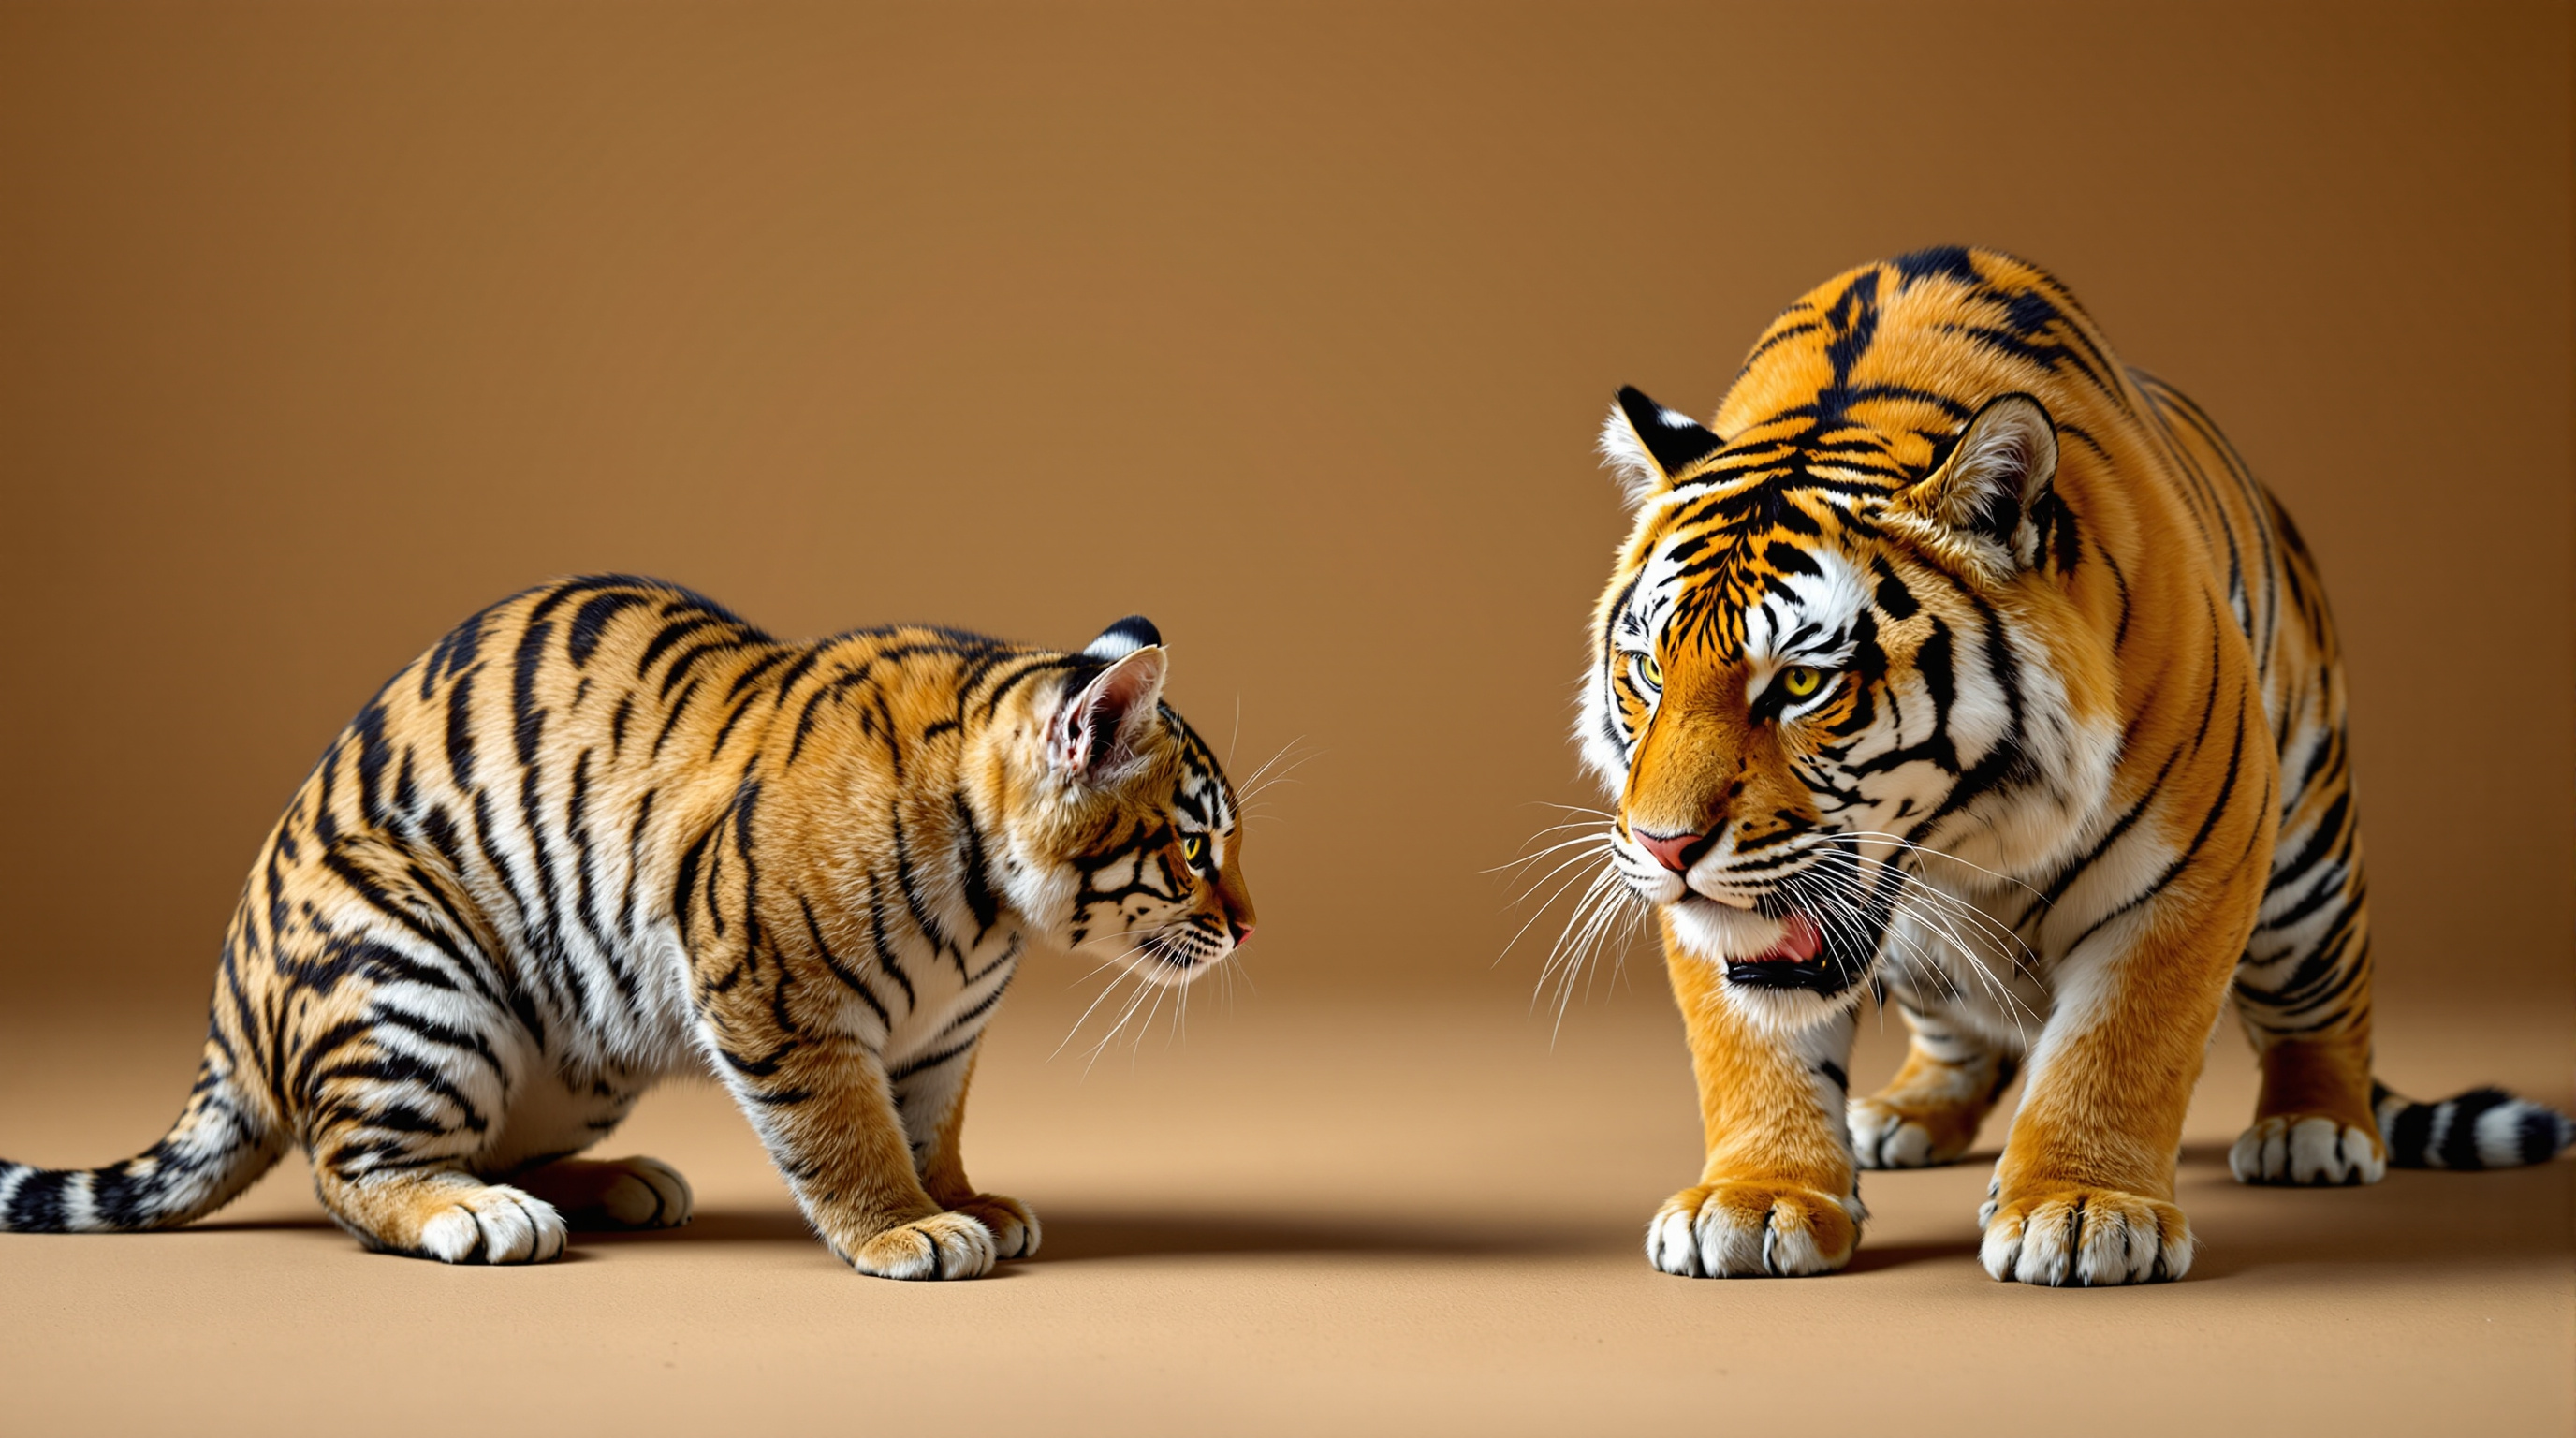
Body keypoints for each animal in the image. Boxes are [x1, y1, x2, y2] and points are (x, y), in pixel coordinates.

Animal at [0, 577, 1255, 1278]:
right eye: (1195, 850)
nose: (1248, 928)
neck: (990, 912)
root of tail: (231, 1018)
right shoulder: (773, 992)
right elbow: (847, 1131)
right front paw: (911, 1230)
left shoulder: (942, 1039)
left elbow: (928, 1124)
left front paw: (964, 1199)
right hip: (412, 974)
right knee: (354, 1168)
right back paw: (480, 1218)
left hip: (576, 1042)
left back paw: (615, 1186)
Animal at [1580, 247, 2574, 1286]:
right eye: (1650, 670)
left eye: (1804, 682)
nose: (1666, 846)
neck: (1966, 845)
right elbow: (1751, 1049)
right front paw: (1757, 1196)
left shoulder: (2199, 861)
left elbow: (2117, 1045)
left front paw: (2080, 1208)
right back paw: (1903, 1115)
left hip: (2309, 865)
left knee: (2326, 1003)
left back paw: (2312, 1129)